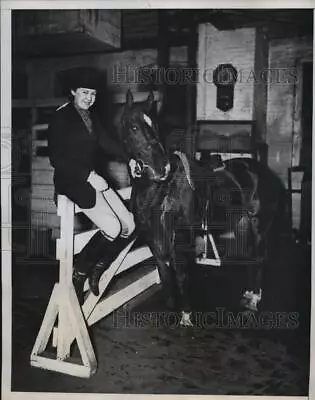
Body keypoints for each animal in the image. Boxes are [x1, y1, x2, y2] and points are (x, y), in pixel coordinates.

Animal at [118, 90, 288, 324]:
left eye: (156, 126)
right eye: (134, 127)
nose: (163, 168)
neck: (159, 190)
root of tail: (265, 173)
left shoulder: (180, 239)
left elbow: (181, 276)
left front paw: (186, 315)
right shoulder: (155, 240)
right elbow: (164, 275)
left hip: (259, 227)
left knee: (260, 259)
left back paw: (254, 300)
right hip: (242, 225)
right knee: (251, 258)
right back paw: (248, 294)